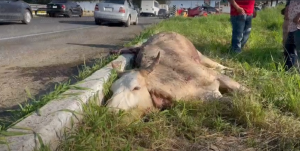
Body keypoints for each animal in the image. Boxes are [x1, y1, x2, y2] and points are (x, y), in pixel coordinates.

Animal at [105, 31, 248, 114]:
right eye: (112, 91)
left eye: (136, 88)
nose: (110, 111)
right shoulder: (209, 97)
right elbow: (230, 101)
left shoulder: (216, 77)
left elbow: (246, 92)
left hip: (202, 57)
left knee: (219, 66)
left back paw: (235, 70)